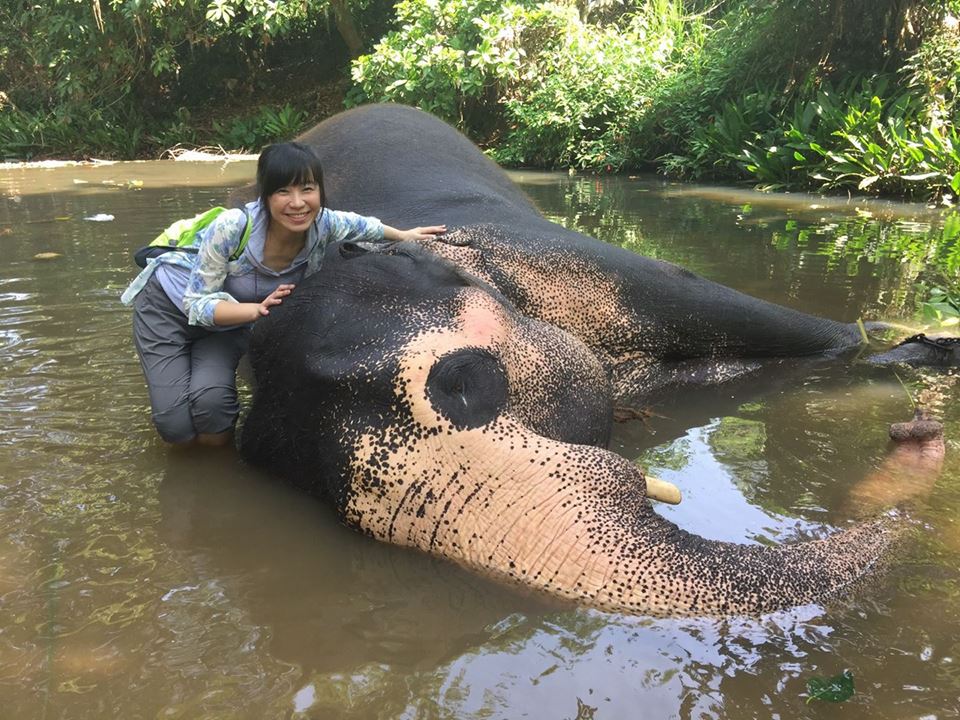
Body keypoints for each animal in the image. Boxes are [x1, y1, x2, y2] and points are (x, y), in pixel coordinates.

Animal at [238, 104, 950, 617]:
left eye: (462, 380)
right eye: (345, 507)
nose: (914, 434)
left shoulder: (560, 257)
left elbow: (747, 309)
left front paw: (911, 351)